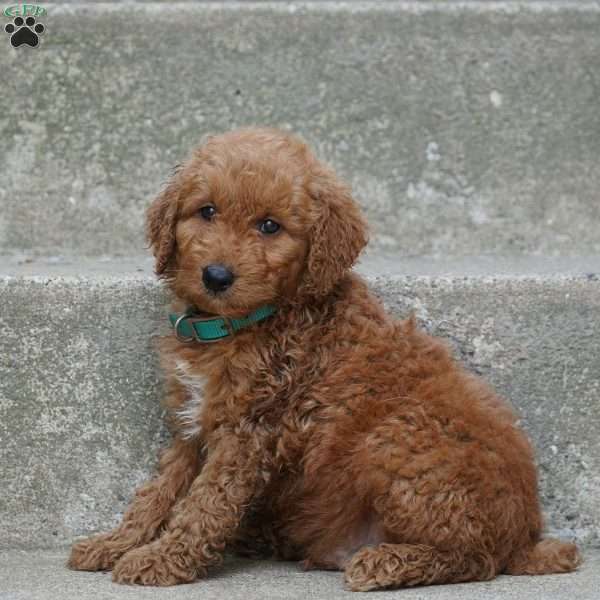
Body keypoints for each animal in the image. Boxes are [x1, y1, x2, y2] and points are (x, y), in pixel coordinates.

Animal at [68, 127, 580, 592]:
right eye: (206, 211)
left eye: (270, 226)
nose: (216, 276)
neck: (249, 322)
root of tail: (523, 536)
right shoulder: (193, 425)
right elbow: (158, 491)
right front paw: (115, 543)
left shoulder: (248, 432)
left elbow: (204, 504)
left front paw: (161, 559)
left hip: (393, 438)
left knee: (475, 558)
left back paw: (385, 563)